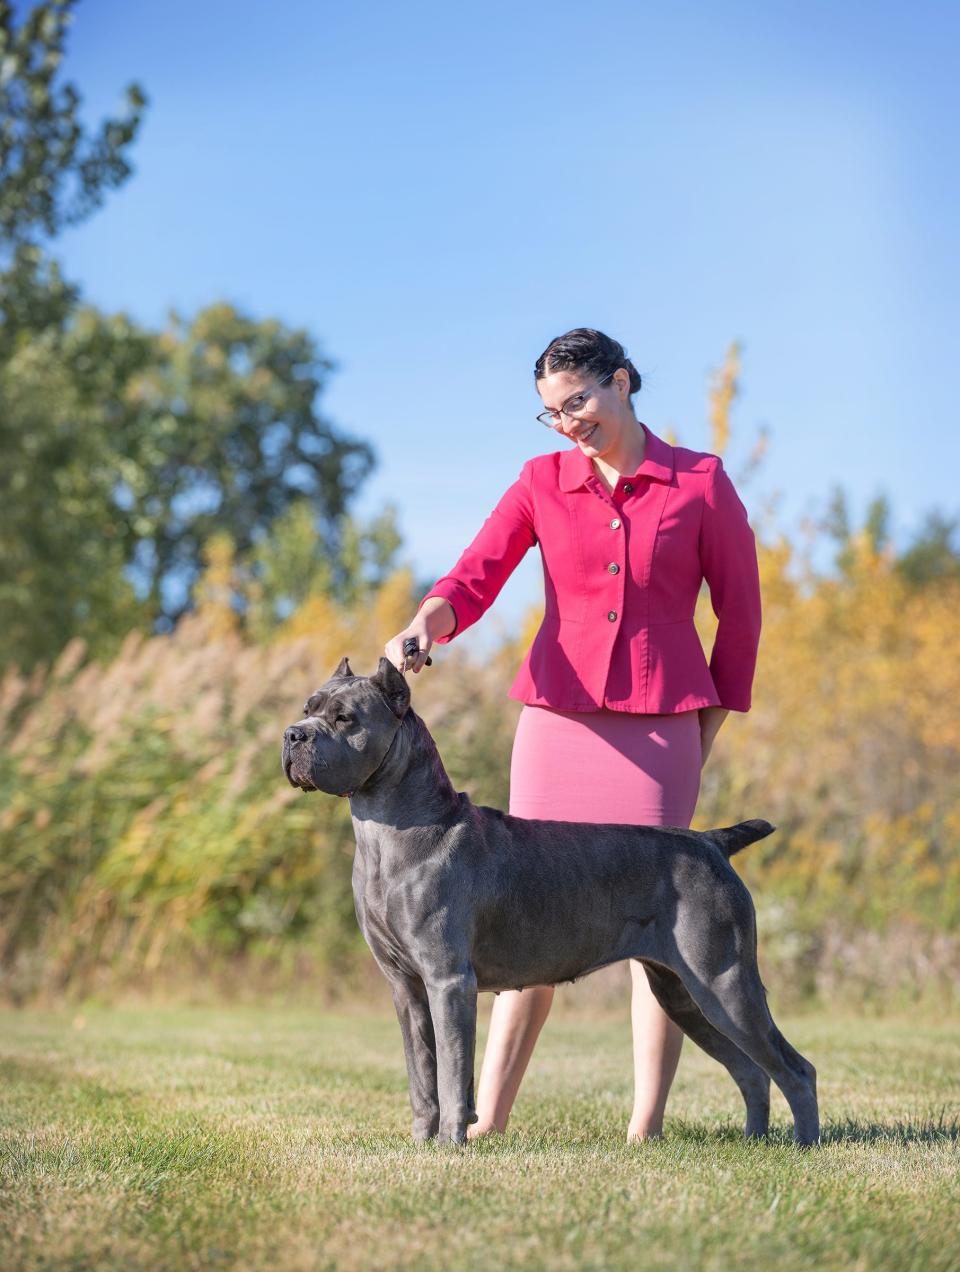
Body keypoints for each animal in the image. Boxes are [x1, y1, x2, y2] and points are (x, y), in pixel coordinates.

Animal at [281, 661, 823, 1149]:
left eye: (345, 718)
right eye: (308, 708)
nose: (292, 735)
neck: (390, 832)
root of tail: (711, 841)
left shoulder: (448, 980)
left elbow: (454, 1075)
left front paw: (451, 1147)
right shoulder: (405, 987)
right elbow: (423, 1079)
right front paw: (419, 1145)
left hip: (724, 980)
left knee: (796, 1068)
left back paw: (804, 1146)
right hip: (683, 994)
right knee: (751, 1070)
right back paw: (755, 1142)